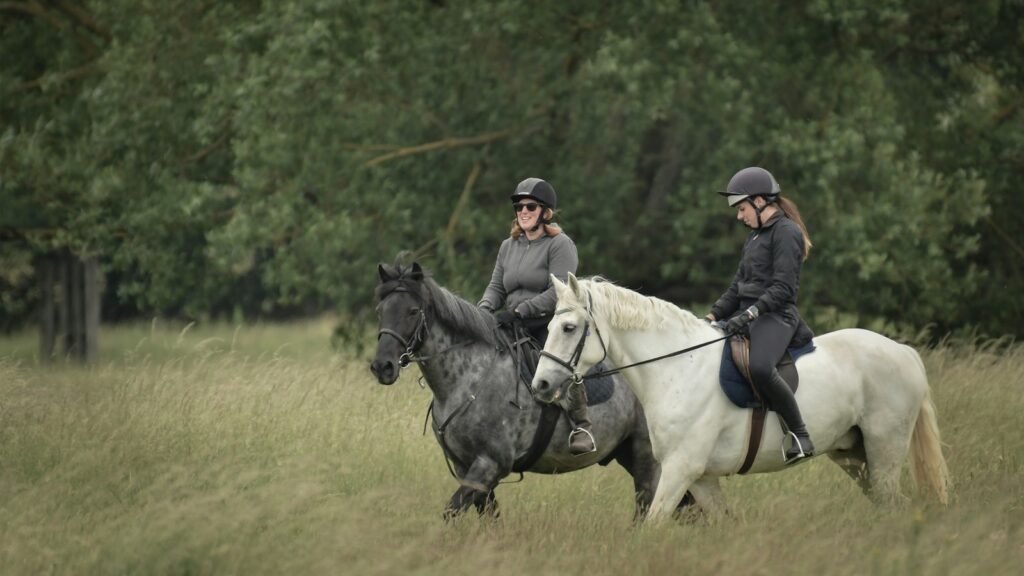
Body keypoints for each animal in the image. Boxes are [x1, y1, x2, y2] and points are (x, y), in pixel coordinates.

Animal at [370, 262, 679, 520]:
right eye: (380, 311)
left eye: (412, 311)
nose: (382, 367)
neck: (469, 379)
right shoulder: (466, 466)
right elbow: (489, 517)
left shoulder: (489, 465)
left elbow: (452, 511)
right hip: (627, 454)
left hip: (646, 458)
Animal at [531, 273, 951, 522]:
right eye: (549, 325)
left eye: (569, 327)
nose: (541, 385)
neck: (677, 368)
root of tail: (903, 351)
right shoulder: (700, 478)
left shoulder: (680, 470)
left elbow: (653, 524)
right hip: (853, 454)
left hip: (884, 451)